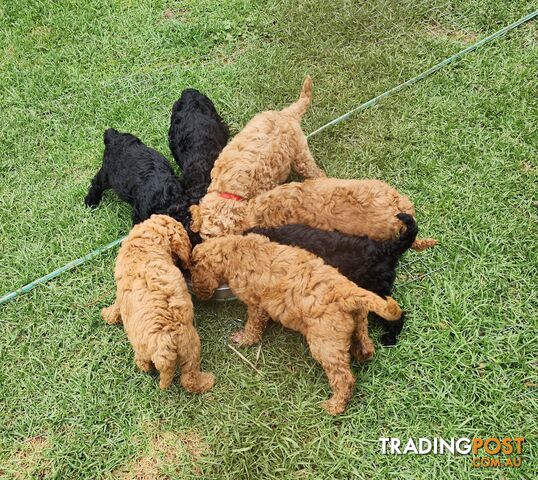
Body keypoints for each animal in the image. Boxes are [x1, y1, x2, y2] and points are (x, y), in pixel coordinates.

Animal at [102, 215, 214, 394]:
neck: (146, 242)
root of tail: (165, 343)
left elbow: (116, 306)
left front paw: (107, 314)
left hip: (158, 347)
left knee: (150, 364)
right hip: (190, 347)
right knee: (188, 377)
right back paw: (206, 381)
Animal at [188, 234, 402, 414]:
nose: (198, 295)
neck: (234, 250)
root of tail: (347, 292)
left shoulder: (256, 303)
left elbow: (253, 325)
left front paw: (244, 340)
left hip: (325, 342)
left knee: (344, 378)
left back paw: (334, 406)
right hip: (358, 321)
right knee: (366, 344)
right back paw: (361, 353)